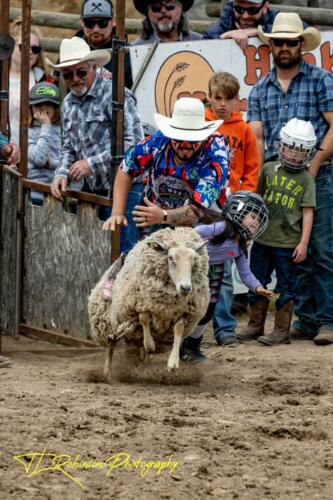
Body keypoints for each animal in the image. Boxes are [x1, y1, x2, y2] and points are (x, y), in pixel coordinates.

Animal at [87, 225, 209, 376]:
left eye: (193, 259)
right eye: (170, 258)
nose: (185, 288)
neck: (167, 303)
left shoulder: (182, 312)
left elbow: (179, 330)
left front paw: (173, 363)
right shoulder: (139, 304)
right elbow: (144, 319)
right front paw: (150, 345)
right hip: (107, 323)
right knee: (110, 345)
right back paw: (107, 372)